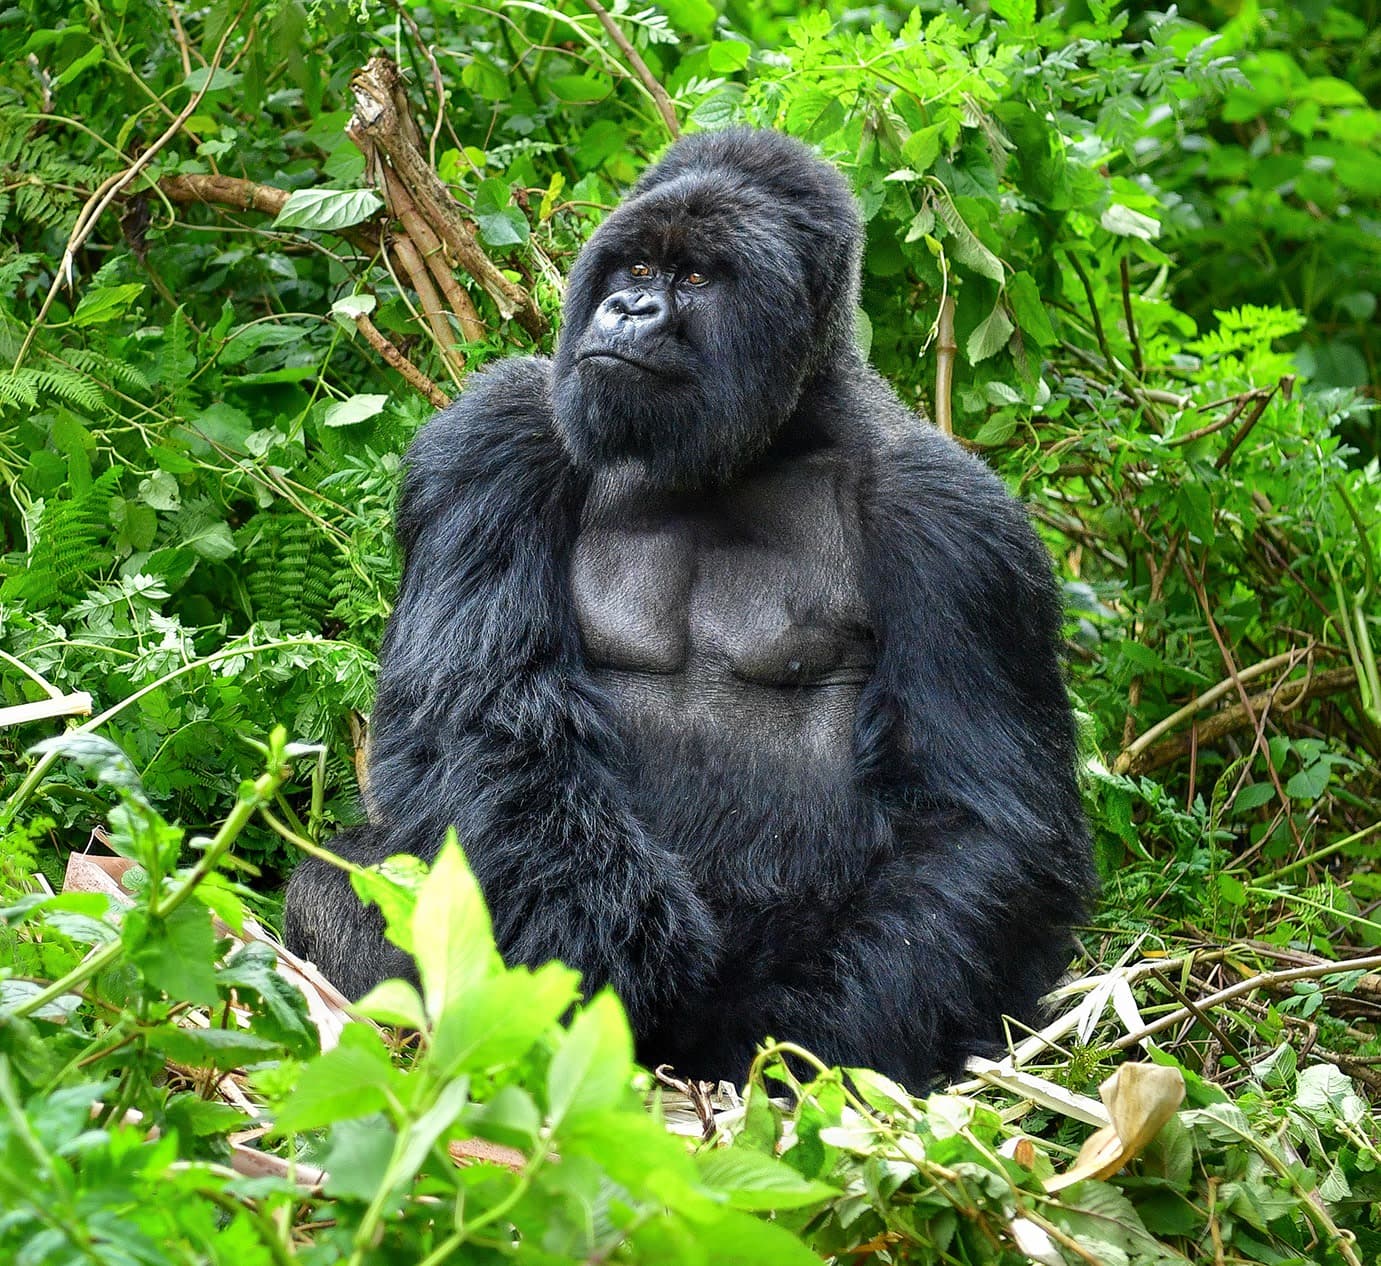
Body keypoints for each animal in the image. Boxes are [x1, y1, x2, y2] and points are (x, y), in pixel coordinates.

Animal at [285, 128, 1093, 1087]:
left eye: (698, 279)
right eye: (636, 265)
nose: (630, 309)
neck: (763, 441)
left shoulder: (955, 524)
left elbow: (981, 823)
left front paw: (794, 1037)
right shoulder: (493, 433)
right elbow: (476, 717)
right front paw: (605, 942)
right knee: (340, 883)